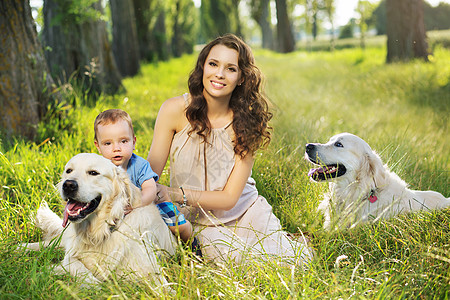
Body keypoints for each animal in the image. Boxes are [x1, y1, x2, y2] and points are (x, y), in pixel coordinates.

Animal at [23, 154, 176, 288]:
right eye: (69, 170)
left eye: (93, 173)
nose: (68, 185)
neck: (100, 231)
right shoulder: (70, 257)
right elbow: (79, 267)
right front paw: (96, 286)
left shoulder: (149, 267)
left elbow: (165, 288)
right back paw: (20, 248)